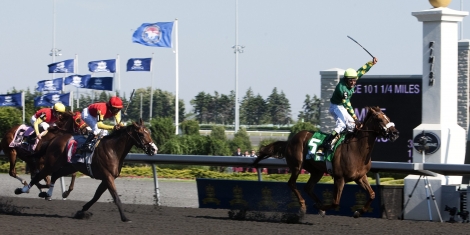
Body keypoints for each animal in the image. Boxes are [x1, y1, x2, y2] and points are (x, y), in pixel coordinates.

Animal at [15, 119, 158, 222]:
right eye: (141, 134)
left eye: (149, 132)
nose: (154, 149)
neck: (113, 149)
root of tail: (54, 139)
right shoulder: (107, 176)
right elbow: (116, 197)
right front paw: (125, 218)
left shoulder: (106, 178)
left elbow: (96, 196)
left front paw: (82, 211)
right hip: (51, 163)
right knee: (38, 175)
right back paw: (22, 189)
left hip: (68, 166)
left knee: (55, 175)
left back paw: (48, 194)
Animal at [255, 106, 398, 218]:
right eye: (380, 119)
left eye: (388, 117)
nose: (395, 133)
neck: (356, 149)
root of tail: (290, 140)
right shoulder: (339, 178)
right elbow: (335, 202)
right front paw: (321, 208)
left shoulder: (360, 177)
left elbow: (372, 194)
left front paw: (358, 212)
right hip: (297, 166)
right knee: (292, 184)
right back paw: (303, 207)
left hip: (316, 171)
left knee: (308, 187)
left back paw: (317, 204)